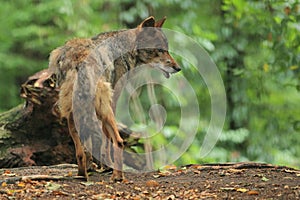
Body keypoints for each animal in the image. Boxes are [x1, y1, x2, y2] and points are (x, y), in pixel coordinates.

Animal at [48, 16, 180, 181]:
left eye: (167, 50)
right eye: (161, 50)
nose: (178, 68)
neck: (126, 48)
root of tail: (77, 60)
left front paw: (96, 166)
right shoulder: (113, 102)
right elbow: (107, 140)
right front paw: (107, 166)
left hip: (72, 113)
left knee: (80, 151)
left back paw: (82, 173)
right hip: (104, 110)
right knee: (119, 141)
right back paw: (117, 176)